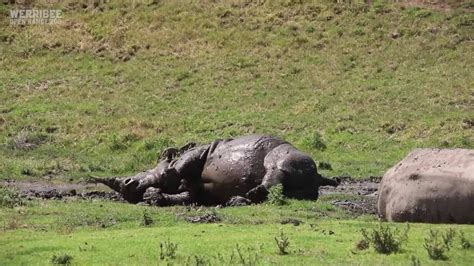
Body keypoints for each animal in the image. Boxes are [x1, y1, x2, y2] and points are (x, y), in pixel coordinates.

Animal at [90, 135, 338, 206]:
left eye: (143, 171)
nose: (125, 186)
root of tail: (320, 177)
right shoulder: (196, 192)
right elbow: (183, 196)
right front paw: (155, 199)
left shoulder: (196, 155)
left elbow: (174, 173)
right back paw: (239, 199)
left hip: (288, 153)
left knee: (275, 167)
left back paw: (248, 195)